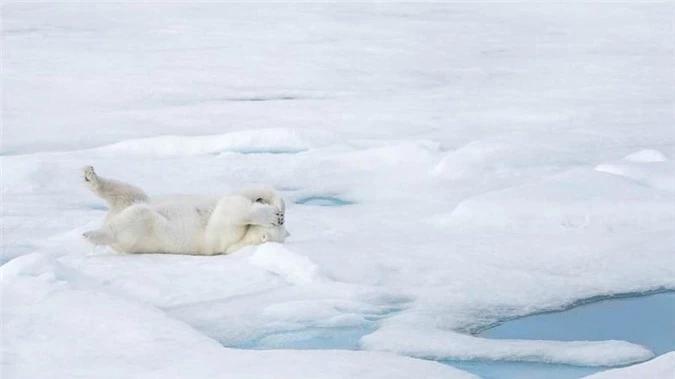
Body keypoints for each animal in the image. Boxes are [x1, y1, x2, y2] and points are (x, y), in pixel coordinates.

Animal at [80, 166, 290, 255]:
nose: (280, 219)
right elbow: (241, 194)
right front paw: (273, 204)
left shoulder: (224, 240)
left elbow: (230, 211)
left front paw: (271, 215)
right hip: (136, 200)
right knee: (128, 192)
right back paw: (90, 176)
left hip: (142, 232)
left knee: (136, 217)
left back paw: (92, 234)